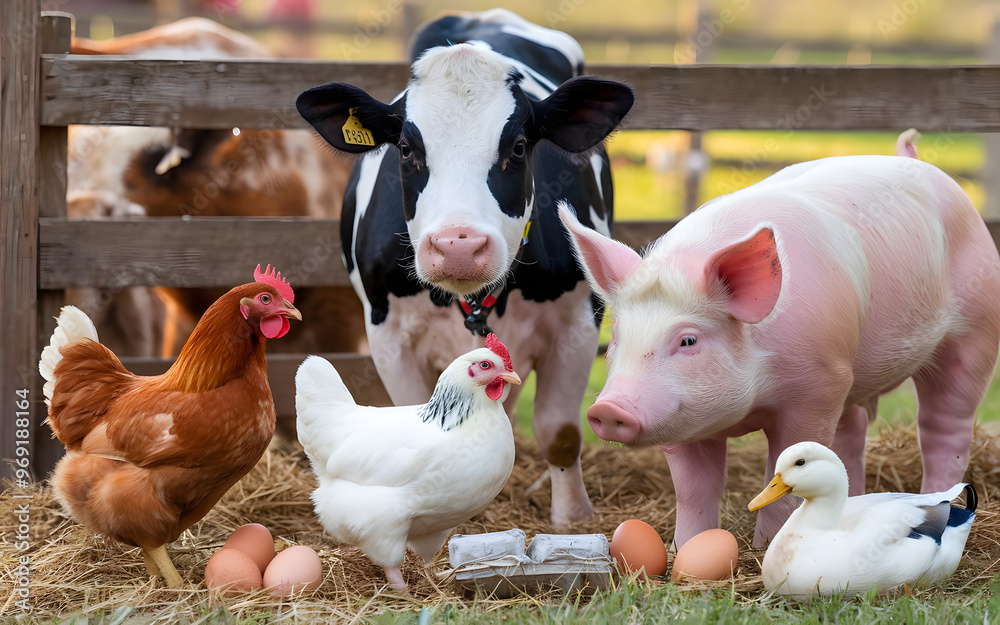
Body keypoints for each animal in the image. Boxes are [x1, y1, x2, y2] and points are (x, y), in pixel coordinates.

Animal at [296, 9, 634, 526]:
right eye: (406, 149)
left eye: (518, 147)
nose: (459, 246)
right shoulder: (386, 334)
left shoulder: (579, 322)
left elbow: (559, 433)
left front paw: (572, 519)